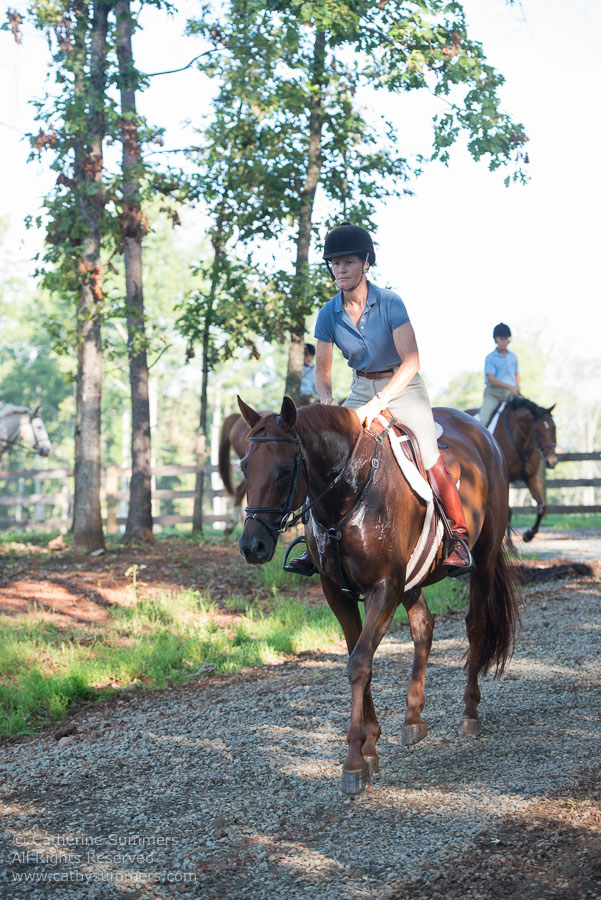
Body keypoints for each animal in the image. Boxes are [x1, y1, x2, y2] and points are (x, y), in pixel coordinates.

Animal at [237, 398, 516, 800]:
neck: (347, 498)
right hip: (413, 578)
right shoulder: (337, 591)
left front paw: (354, 763)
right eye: (245, 466)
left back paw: (469, 712)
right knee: (423, 627)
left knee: (476, 628)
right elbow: (358, 654)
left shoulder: (383, 588)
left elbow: (359, 664)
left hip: (484, 558)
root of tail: (483, 433)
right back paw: (413, 719)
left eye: (285, 469)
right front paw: (370, 746)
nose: (252, 546)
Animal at [464, 400, 556, 540]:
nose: (552, 461)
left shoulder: (531, 477)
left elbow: (542, 507)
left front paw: (529, 534)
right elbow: (508, 512)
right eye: (536, 430)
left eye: (553, 428)